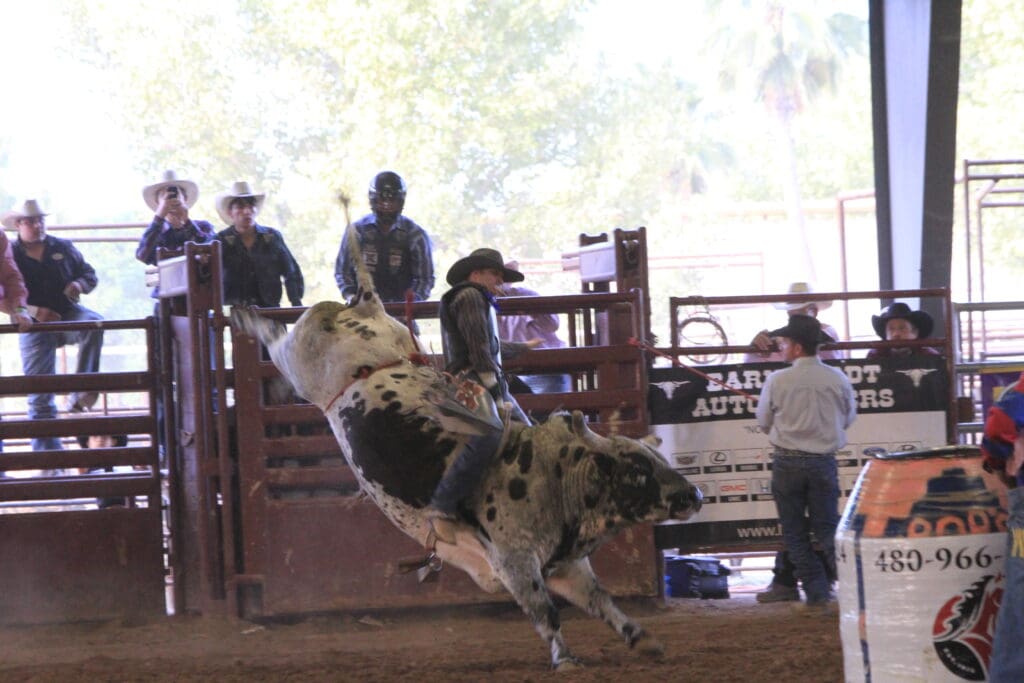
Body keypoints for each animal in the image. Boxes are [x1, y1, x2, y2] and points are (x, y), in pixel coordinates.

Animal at [230, 247, 702, 671]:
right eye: (638, 469)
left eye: (657, 460)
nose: (694, 495)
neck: (557, 475)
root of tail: (364, 307)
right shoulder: (515, 561)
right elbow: (545, 611)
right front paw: (565, 659)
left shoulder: (567, 564)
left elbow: (601, 601)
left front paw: (641, 639)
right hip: (301, 360)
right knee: (277, 339)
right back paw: (244, 313)